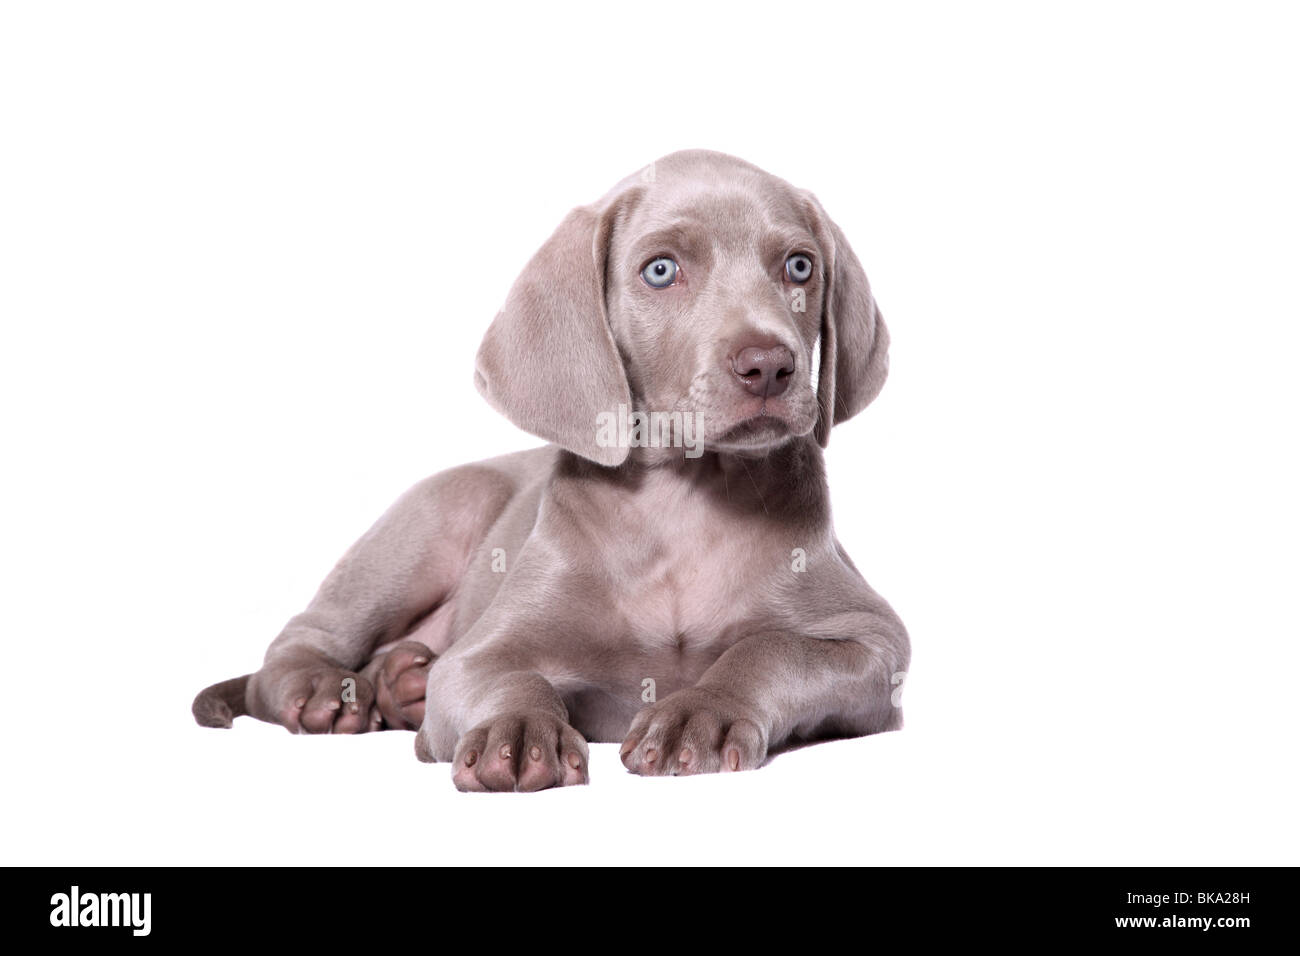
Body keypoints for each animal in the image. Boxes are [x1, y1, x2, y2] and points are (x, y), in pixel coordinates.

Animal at [195, 149, 904, 790]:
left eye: (800, 266)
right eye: (661, 271)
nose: (770, 366)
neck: (684, 501)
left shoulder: (878, 643)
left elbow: (772, 647)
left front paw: (702, 712)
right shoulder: (478, 654)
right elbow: (509, 674)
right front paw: (514, 730)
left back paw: (402, 685)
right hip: (428, 521)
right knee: (297, 642)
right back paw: (330, 690)